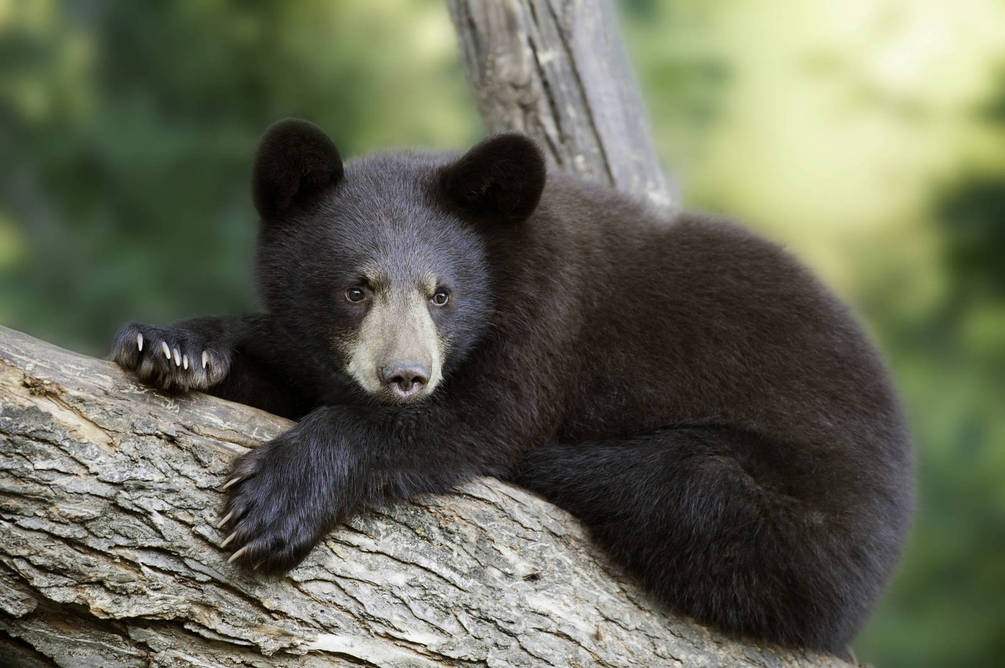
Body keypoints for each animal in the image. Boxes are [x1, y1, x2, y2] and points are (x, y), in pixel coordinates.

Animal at [114, 118, 916, 650]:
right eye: (355, 289)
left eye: (442, 294)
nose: (405, 376)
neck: (507, 268)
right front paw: (175, 347)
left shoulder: (547, 324)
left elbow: (476, 421)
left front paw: (274, 501)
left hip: (793, 512)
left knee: (679, 490)